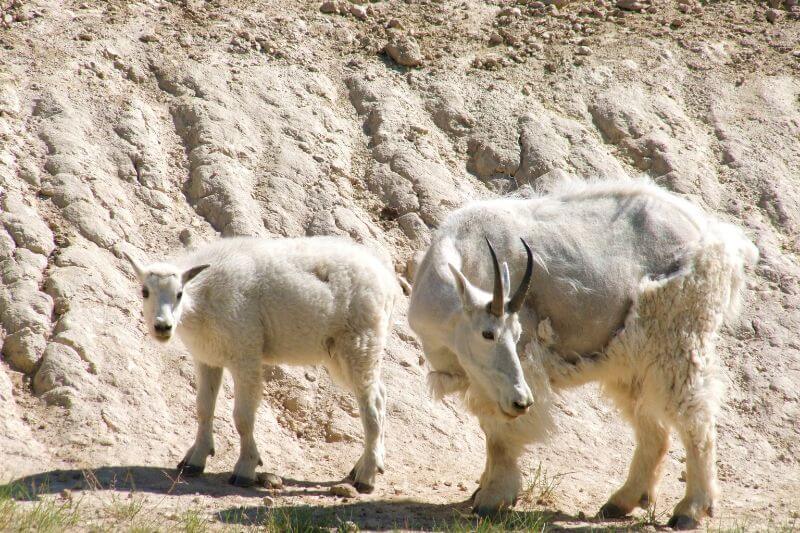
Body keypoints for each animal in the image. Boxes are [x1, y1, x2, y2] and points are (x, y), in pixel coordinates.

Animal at [126, 236, 400, 490]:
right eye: (144, 292)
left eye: (179, 294)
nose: (162, 327)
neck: (203, 299)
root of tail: (389, 281)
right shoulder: (207, 358)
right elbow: (203, 408)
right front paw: (194, 460)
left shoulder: (245, 354)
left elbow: (243, 417)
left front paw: (246, 469)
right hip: (345, 353)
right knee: (381, 394)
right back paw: (370, 464)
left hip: (360, 342)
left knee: (371, 407)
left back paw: (366, 476)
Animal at [410, 179, 760, 528]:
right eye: (488, 334)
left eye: (518, 333)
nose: (522, 401)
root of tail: (716, 236)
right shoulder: (484, 380)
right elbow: (490, 426)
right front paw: (481, 489)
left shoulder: (521, 367)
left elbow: (499, 435)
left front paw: (492, 499)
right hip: (633, 360)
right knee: (655, 430)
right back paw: (621, 502)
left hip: (678, 336)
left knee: (695, 417)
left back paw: (690, 509)